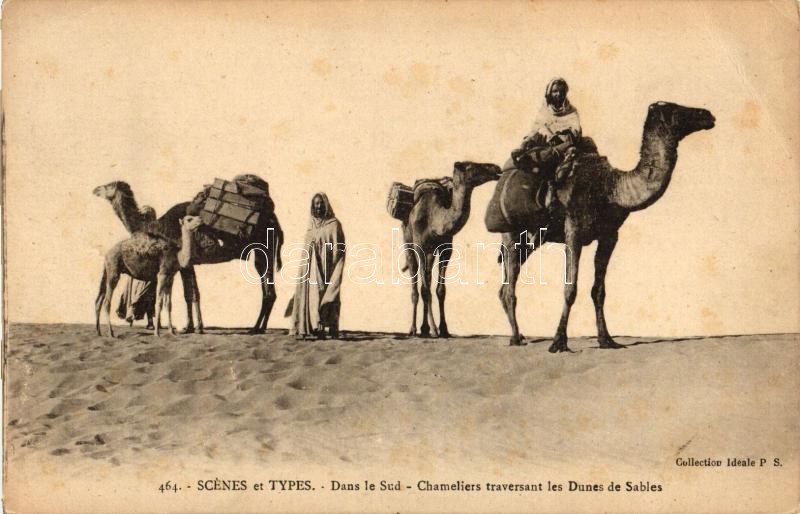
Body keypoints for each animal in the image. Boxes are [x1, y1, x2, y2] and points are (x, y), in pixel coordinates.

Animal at [94, 178, 284, 334]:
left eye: (108, 186)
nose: (95, 189)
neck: (156, 226)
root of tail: (274, 220)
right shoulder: (187, 262)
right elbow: (193, 293)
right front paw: (193, 327)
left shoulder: (182, 261)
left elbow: (189, 294)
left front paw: (192, 327)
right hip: (261, 253)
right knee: (267, 290)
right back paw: (258, 327)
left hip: (265, 248)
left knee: (269, 292)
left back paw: (257, 329)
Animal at [400, 160, 500, 336]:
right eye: (471, 166)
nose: (496, 168)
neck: (435, 219)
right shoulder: (420, 246)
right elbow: (425, 290)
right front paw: (433, 329)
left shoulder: (446, 248)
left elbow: (440, 290)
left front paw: (444, 329)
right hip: (408, 242)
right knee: (416, 285)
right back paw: (414, 329)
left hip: (430, 252)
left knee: (427, 279)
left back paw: (425, 328)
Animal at [484, 101, 716, 348]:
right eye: (675, 109)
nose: (708, 114)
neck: (609, 187)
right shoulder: (573, 230)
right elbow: (570, 289)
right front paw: (558, 341)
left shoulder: (609, 235)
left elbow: (599, 291)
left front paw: (607, 339)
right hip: (510, 233)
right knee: (510, 288)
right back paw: (516, 338)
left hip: (529, 240)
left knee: (505, 285)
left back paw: (518, 335)